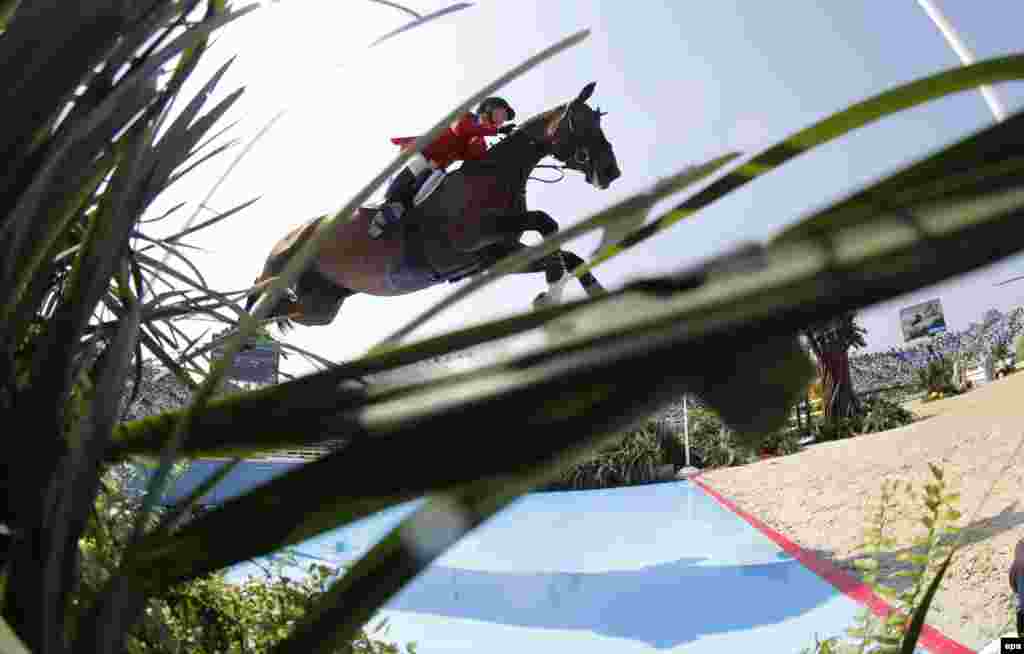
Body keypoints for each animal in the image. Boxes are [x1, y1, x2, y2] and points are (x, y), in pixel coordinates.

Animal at [245, 81, 622, 327]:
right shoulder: (470, 239)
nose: (611, 172)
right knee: (261, 305)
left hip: (321, 307)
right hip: (294, 280)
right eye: (580, 122)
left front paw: (594, 294)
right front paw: (550, 295)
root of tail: (285, 240)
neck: (495, 176)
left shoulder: (497, 255)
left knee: (283, 312)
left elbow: (567, 255)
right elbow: (546, 222)